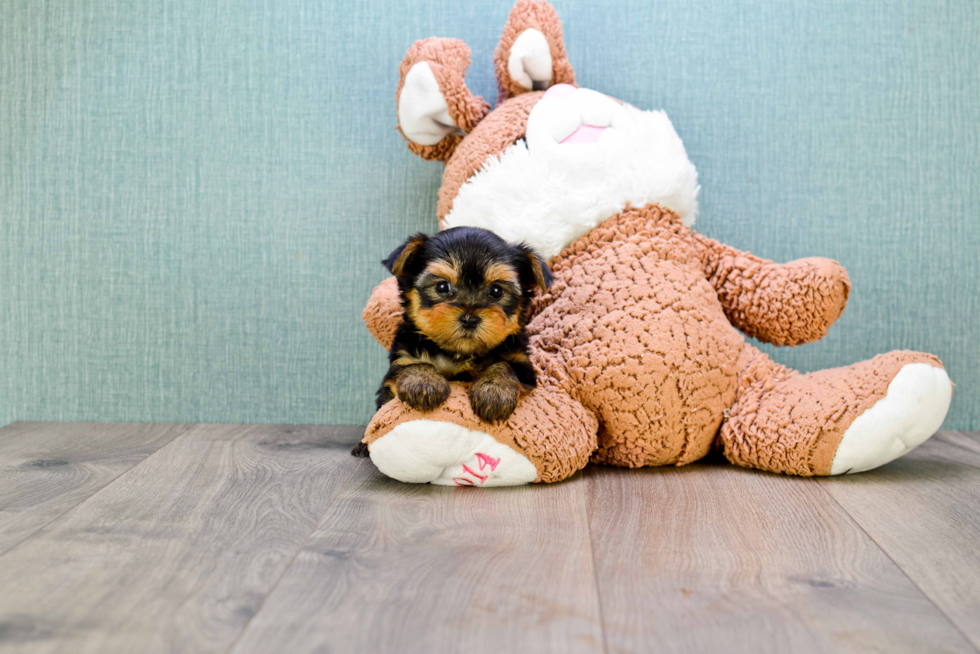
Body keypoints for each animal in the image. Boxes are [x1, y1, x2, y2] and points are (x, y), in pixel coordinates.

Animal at [352, 228, 552, 458]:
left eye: (496, 291)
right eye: (442, 287)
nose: (470, 318)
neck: (460, 353)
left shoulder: (523, 365)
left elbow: (503, 365)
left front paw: (494, 392)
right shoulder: (402, 357)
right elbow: (412, 365)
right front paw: (423, 383)